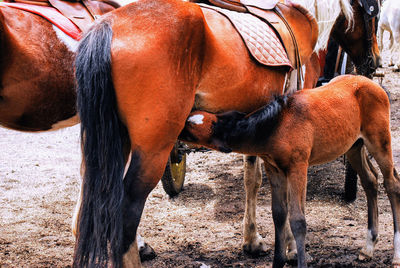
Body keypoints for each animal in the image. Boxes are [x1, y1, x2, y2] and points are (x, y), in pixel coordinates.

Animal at [181, 74, 400, 268]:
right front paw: (278, 262)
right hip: (354, 146)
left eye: (190, 129)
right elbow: (279, 214)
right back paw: (368, 247)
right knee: (370, 180)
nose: (176, 132)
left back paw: (396, 256)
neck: (276, 125)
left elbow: (297, 221)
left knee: (392, 184)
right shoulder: (274, 169)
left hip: (379, 141)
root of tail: (375, 84)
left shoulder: (298, 168)